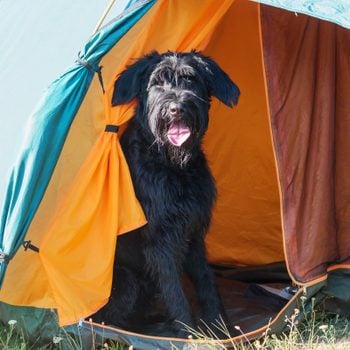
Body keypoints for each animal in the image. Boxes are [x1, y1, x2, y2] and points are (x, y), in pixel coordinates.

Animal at [94, 50, 239, 338]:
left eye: (191, 79)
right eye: (157, 82)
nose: (176, 108)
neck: (174, 166)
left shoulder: (193, 233)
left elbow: (206, 279)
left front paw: (219, 326)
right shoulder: (160, 241)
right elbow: (174, 290)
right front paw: (189, 333)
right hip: (128, 280)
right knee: (113, 321)